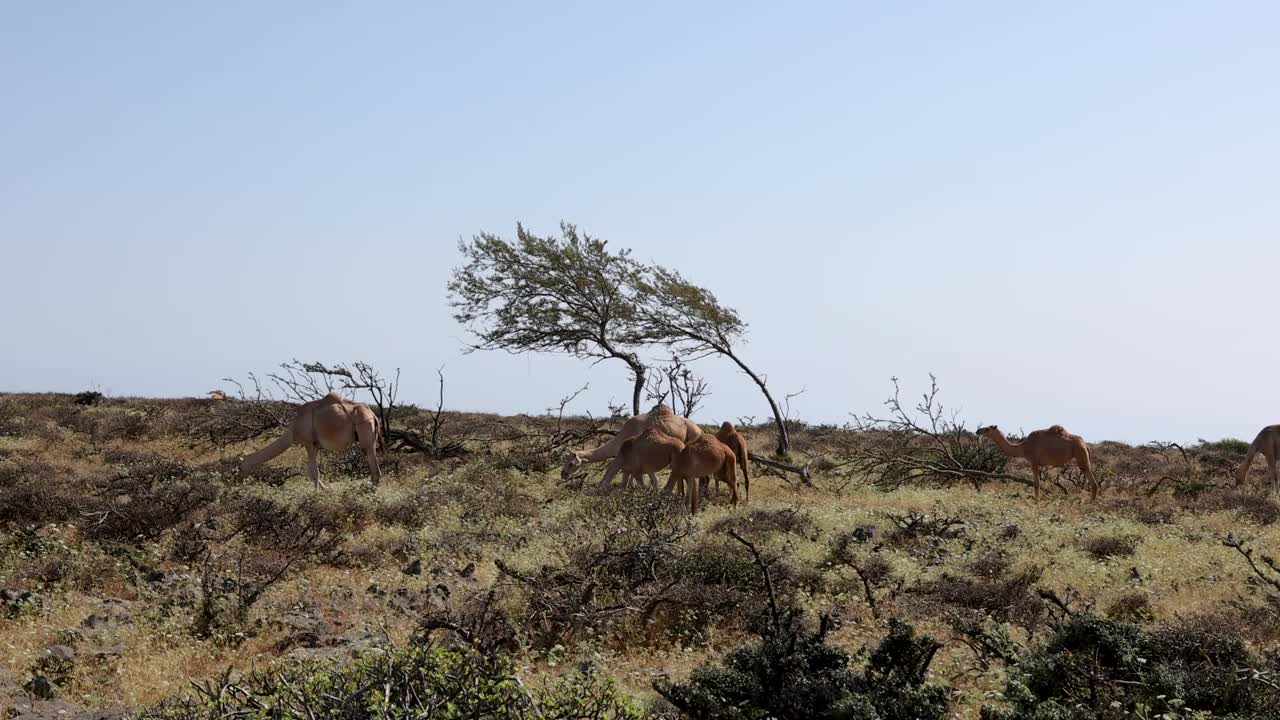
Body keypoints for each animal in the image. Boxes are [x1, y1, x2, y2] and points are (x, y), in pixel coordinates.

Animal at [239, 389, 378, 489]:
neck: (293, 429)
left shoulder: (309, 443)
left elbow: (314, 472)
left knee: (374, 467)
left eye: (240, 467)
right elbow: (311, 471)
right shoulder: (315, 446)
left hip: (365, 433)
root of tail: (373, 415)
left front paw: (315, 495)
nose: (238, 480)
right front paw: (326, 489)